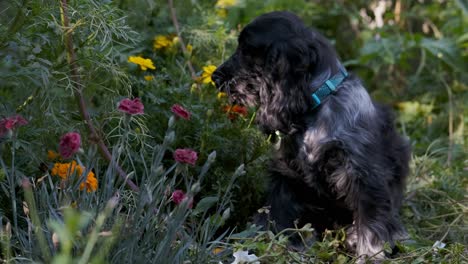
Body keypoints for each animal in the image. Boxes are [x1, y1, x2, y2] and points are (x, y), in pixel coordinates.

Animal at [214, 11, 412, 258]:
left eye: (247, 50)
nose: (214, 77)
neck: (318, 108)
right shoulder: (286, 175)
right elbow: (274, 215)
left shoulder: (364, 176)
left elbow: (371, 225)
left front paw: (369, 256)